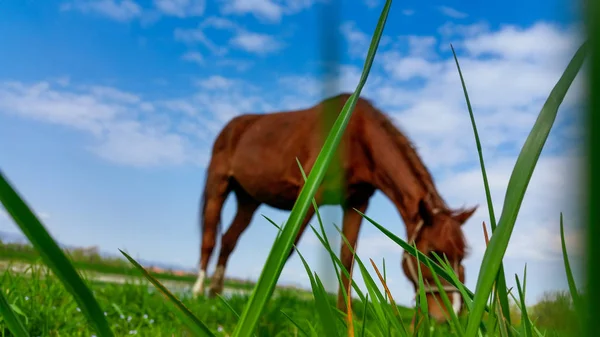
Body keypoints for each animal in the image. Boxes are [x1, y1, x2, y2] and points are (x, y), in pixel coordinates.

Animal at [192, 92, 478, 320]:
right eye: (431, 253)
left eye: (462, 257)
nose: (453, 312)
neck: (355, 135)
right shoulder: (311, 194)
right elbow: (288, 247)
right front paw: (261, 304)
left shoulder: (356, 202)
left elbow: (347, 258)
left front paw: (343, 314)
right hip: (218, 186)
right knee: (209, 238)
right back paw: (197, 292)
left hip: (248, 199)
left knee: (229, 240)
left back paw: (215, 293)